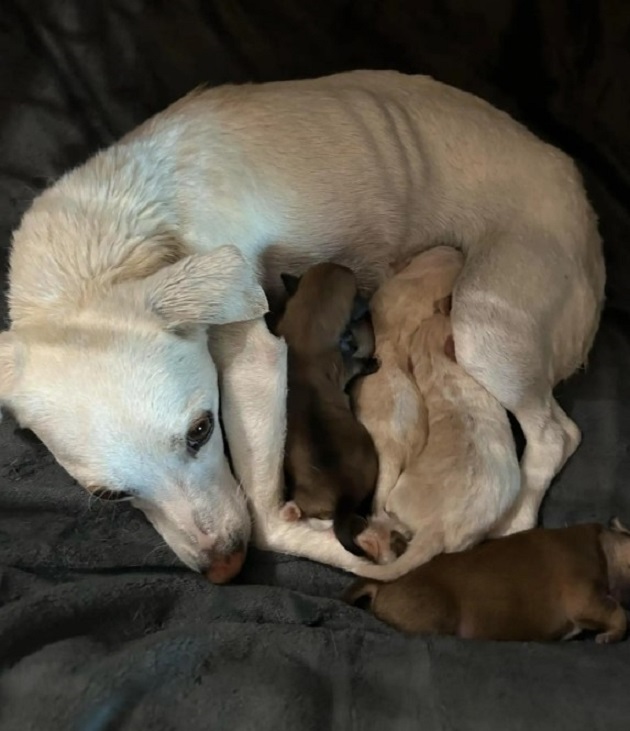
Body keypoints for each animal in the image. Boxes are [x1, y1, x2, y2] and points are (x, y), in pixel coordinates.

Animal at [272, 264, 380, 556]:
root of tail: (344, 495)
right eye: (357, 291)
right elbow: (356, 363)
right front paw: (370, 363)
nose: (368, 301)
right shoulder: (344, 366)